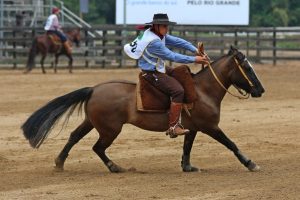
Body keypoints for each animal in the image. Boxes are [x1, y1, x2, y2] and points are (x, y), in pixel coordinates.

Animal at [21, 46, 264, 173]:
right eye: (247, 67)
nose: (261, 89)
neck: (203, 90)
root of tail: (93, 89)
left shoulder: (193, 128)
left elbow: (187, 147)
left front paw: (187, 166)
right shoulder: (211, 127)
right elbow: (231, 144)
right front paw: (250, 163)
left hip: (91, 123)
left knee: (74, 136)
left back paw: (60, 162)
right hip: (110, 130)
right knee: (97, 148)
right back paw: (114, 167)